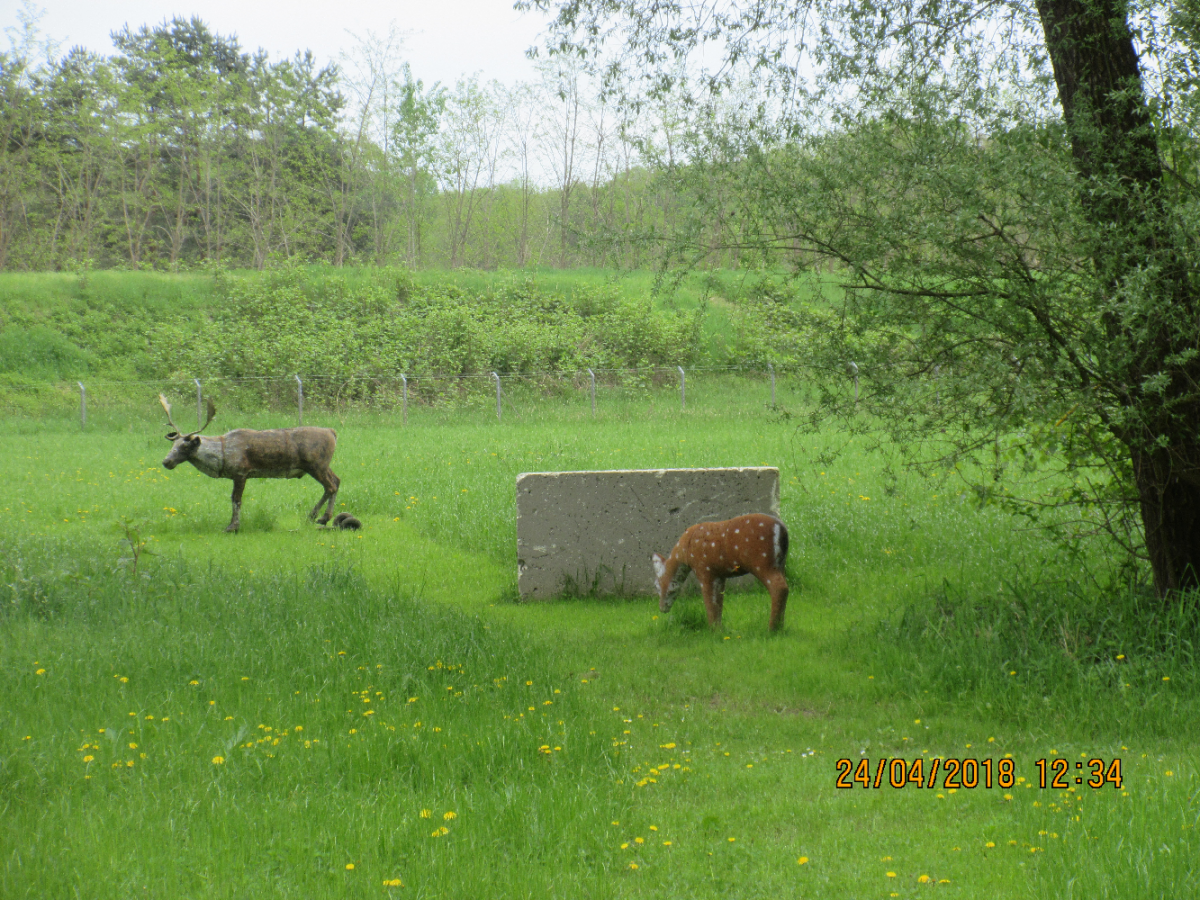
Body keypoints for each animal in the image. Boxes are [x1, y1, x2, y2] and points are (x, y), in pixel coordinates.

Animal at [157, 396, 340, 535]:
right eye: (173, 444)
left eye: (185, 446)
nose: (166, 461)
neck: (221, 455)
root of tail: (332, 432)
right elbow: (234, 499)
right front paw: (232, 525)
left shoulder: (241, 472)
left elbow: (236, 499)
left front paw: (232, 527)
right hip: (322, 466)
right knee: (336, 481)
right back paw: (315, 516)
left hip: (316, 464)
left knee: (331, 486)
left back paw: (322, 517)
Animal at [652, 513, 792, 633]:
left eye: (657, 585)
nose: (662, 608)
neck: (685, 552)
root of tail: (782, 529)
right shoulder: (720, 575)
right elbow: (718, 602)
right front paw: (719, 629)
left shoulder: (704, 568)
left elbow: (710, 601)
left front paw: (713, 630)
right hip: (780, 563)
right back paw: (780, 627)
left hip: (762, 561)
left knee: (779, 587)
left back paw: (772, 629)